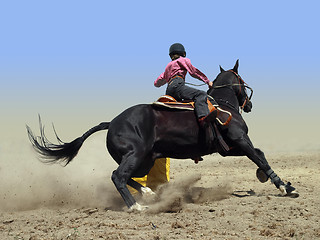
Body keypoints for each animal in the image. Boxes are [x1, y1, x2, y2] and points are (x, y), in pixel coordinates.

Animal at [26, 59, 298, 210]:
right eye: (242, 80)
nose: (249, 105)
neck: (222, 105)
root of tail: (112, 122)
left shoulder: (229, 148)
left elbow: (259, 155)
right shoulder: (240, 140)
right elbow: (260, 156)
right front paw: (285, 187)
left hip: (144, 160)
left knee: (126, 177)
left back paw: (149, 194)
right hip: (135, 155)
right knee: (118, 176)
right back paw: (136, 207)